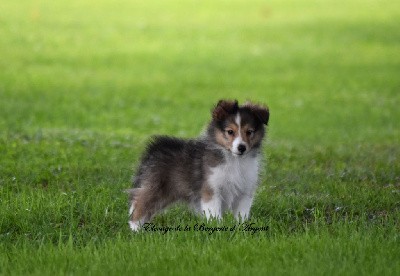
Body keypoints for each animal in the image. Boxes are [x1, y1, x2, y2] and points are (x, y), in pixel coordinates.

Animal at [128, 99, 268, 231]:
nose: (242, 148)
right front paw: (217, 228)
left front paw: (241, 228)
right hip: (155, 188)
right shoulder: (211, 189)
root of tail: (154, 148)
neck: (234, 161)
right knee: (139, 206)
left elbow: (241, 214)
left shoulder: (245, 191)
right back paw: (136, 230)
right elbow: (214, 213)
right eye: (230, 132)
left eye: (249, 132)